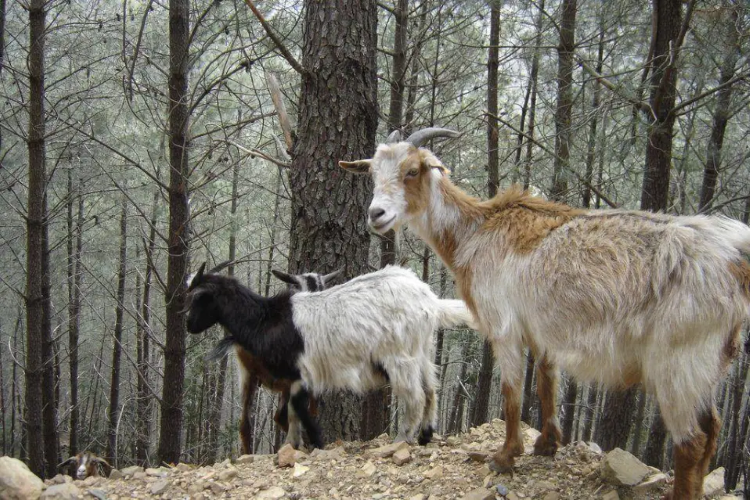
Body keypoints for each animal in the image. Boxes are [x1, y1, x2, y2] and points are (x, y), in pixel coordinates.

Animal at [340, 127, 750, 499]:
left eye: (412, 170)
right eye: (373, 173)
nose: (376, 214)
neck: (477, 231)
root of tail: (733, 262)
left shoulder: (504, 327)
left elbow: (511, 392)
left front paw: (505, 456)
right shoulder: (541, 331)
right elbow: (545, 381)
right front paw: (547, 445)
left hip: (678, 359)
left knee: (691, 440)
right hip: (709, 364)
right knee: (713, 429)